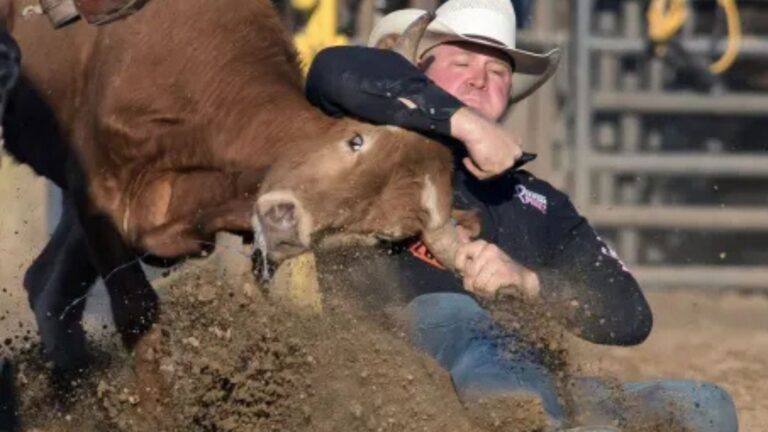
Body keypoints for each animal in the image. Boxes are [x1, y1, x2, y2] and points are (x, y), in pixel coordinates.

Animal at [0, 0, 464, 383]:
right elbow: (138, 315)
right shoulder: (98, 192)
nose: (284, 225)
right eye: (355, 140)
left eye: (383, 234)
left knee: (47, 287)